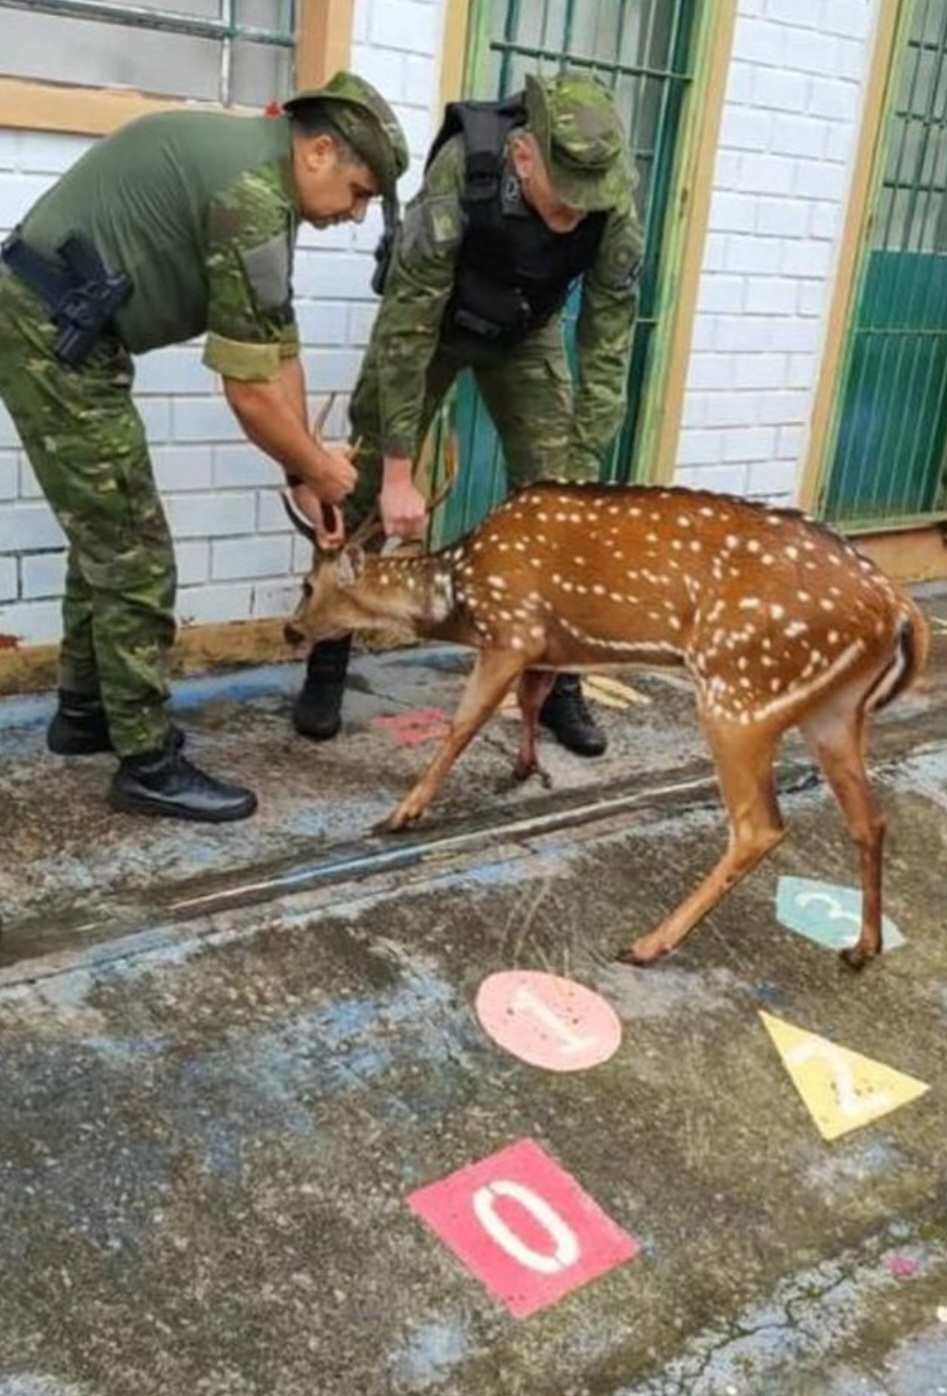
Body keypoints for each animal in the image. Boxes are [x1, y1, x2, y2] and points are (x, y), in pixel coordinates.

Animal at [286, 483, 933, 971]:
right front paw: (525, 767)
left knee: (759, 827)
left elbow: (464, 721)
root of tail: (899, 608)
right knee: (869, 818)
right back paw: (862, 948)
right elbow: (530, 699)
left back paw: (648, 944)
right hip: (834, 709)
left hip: (741, 690)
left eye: (308, 585)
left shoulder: (512, 627)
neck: (460, 591)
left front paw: (402, 814)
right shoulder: (549, 647)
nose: (292, 630)